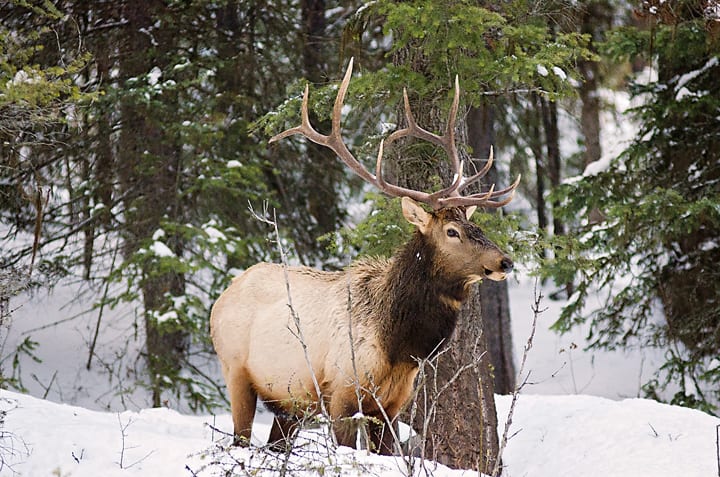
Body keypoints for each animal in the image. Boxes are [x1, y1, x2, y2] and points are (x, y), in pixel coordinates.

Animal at [210, 58, 520, 455]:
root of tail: (222, 298)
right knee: (240, 438)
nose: (505, 261)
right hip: (236, 372)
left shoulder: (391, 404)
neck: (400, 346)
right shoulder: (342, 392)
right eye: (453, 232)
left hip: (287, 401)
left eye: (475, 226)